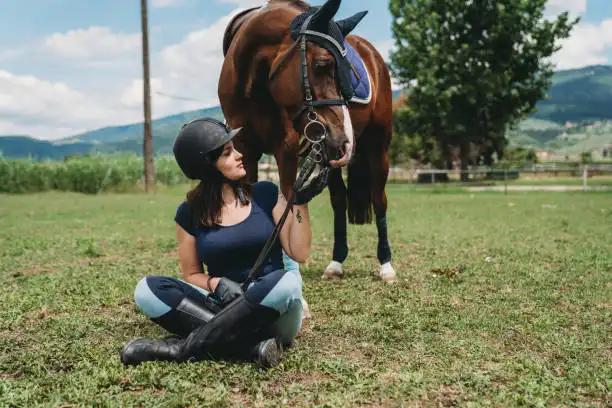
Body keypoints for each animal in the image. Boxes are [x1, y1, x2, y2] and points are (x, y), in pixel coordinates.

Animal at [218, 0, 394, 282]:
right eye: (322, 65)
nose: (346, 139)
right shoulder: (244, 150)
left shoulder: (286, 149)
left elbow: (286, 210)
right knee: (339, 201)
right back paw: (336, 263)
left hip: (378, 147)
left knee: (379, 199)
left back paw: (386, 265)